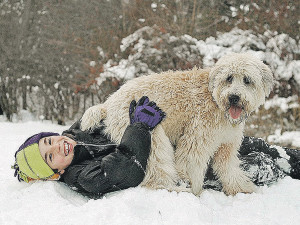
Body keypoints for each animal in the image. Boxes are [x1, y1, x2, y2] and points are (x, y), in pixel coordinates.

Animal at [80, 53, 274, 196]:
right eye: (229, 78)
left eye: (247, 80)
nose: (234, 97)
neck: (215, 99)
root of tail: (108, 103)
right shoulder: (197, 139)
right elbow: (190, 164)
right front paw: (195, 192)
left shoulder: (226, 144)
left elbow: (228, 168)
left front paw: (241, 188)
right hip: (153, 138)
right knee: (156, 172)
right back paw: (174, 189)